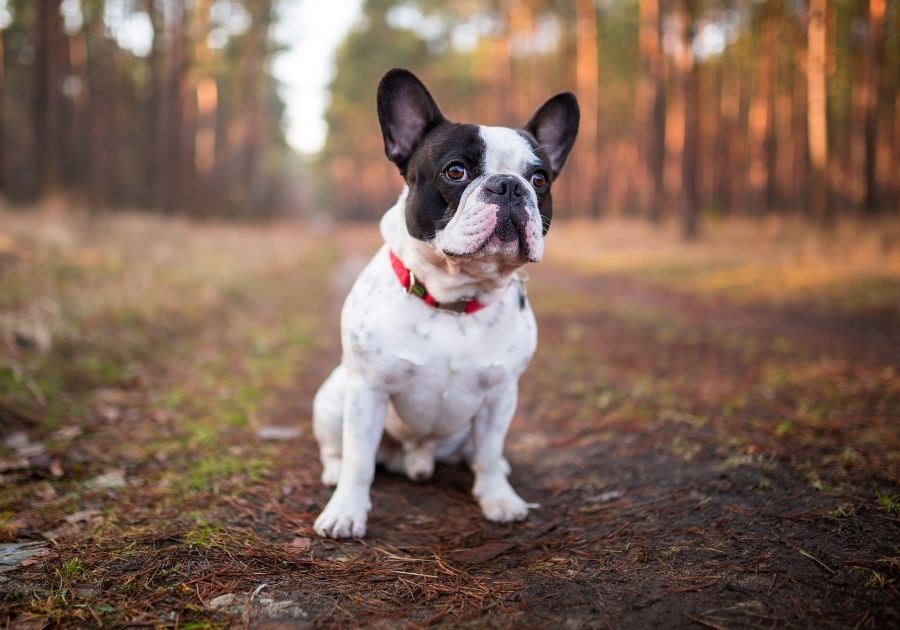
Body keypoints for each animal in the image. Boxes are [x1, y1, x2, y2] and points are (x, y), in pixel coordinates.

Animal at [312, 70, 576, 544]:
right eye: (456, 171)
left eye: (540, 179)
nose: (510, 185)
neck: (456, 296)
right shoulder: (368, 390)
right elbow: (359, 459)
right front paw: (345, 512)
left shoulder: (500, 396)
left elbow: (488, 451)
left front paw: (498, 499)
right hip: (333, 397)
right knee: (337, 450)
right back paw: (334, 473)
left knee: (480, 454)